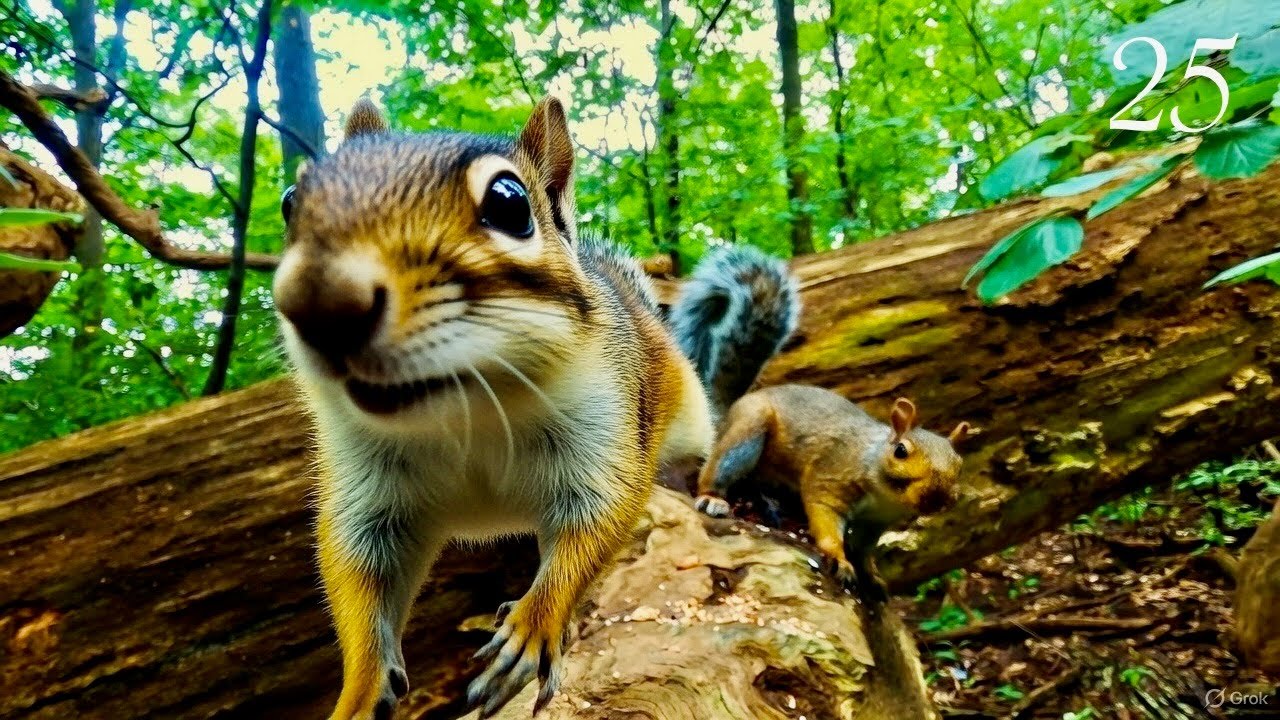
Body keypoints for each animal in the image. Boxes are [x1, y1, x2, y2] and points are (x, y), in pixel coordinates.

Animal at [272, 96, 797, 720]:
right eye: (290, 200)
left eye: (509, 202)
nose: (318, 301)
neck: (464, 415)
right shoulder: (368, 499)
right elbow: (356, 574)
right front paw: (358, 691)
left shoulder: (605, 441)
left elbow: (595, 529)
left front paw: (533, 628)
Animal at [693, 385, 968, 597]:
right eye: (900, 451)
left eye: (959, 463)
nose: (937, 498)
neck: (885, 497)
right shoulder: (830, 480)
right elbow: (827, 526)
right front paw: (841, 561)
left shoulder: (876, 521)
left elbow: (864, 549)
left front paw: (872, 575)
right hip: (748, 428)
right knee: (720, 468)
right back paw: (713, 498)